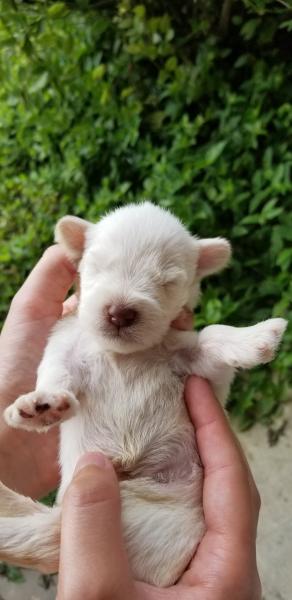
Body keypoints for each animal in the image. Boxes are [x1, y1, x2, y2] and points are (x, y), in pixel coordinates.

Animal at [0, 203, 288, 584]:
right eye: (98, 267)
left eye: (167, 282)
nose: (120, 312)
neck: (123, 355)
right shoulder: (63, 346)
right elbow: (55, 373)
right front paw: (41, 405)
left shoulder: (203, 372)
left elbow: (211, 334)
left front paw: (256, 337)